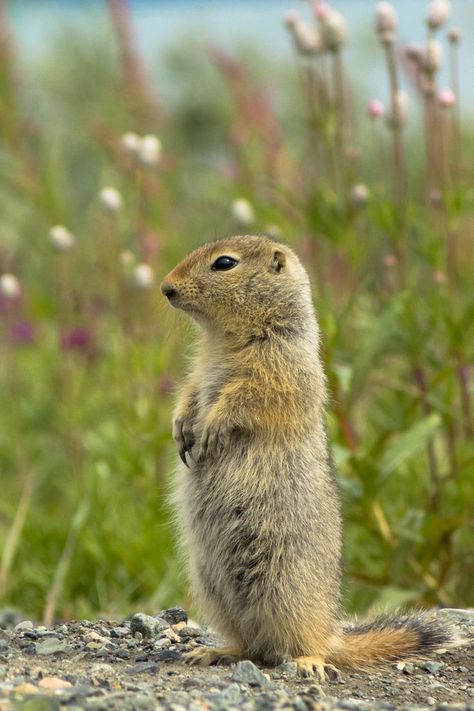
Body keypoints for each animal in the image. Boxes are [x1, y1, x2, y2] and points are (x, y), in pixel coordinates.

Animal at [161, 236, 454, 680]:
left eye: (224, 263)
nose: (165, 288)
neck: (226, 337)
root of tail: (333, 634)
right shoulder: (200, 370)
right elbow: (191, 390)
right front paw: (181, 427)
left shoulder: (281, 368)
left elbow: (250, 397)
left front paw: (212, 426)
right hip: (212, 587)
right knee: (249, 646)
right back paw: (214, 651)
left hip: (288, 589)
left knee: (296, 644)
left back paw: (308, 661)